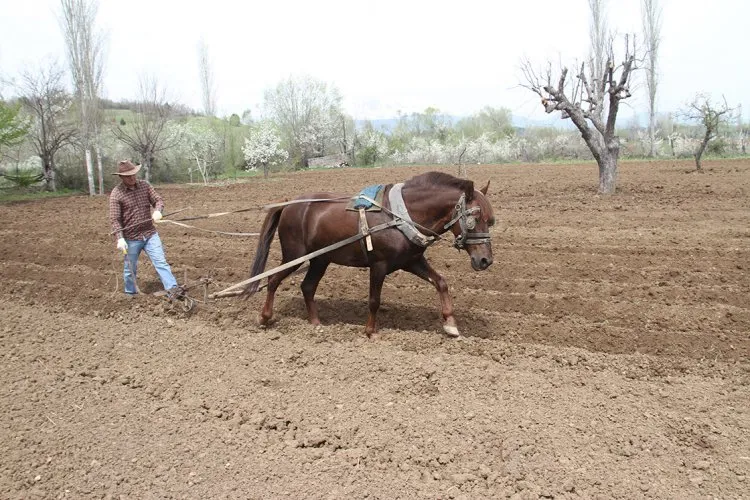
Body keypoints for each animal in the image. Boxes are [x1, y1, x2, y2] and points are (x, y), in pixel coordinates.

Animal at [244, 170, 496, 338]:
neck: (401, 215)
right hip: (293, 255)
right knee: (272, 280)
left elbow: (441, 282)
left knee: (307, 287)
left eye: (490, 220)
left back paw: (316, 323)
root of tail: (289, 204)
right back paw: (264, 317)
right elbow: (374, 299)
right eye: (474, 218)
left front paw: (451, 324)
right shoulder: (379, 265)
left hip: (320, 259)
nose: (485, 260)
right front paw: (370, 331)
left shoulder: (412, 261)